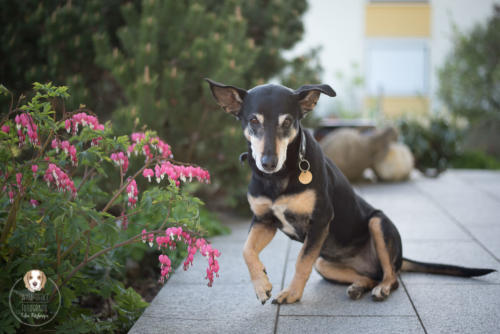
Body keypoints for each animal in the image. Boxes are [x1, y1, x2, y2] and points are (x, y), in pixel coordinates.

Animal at [205, 78, 494, 306]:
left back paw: (382, 289)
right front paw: (262, 285)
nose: (267, 162)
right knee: (370, 275)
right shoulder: (264, 220)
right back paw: (358, 287)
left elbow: (300, 262)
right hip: (324, 263)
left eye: (287, 122)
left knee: (391, 277)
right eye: (253, 121)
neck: (279, 176)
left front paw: (292, 294)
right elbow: (246, 250)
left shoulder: (320, 220)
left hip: (378, 223)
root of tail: (401, 258)